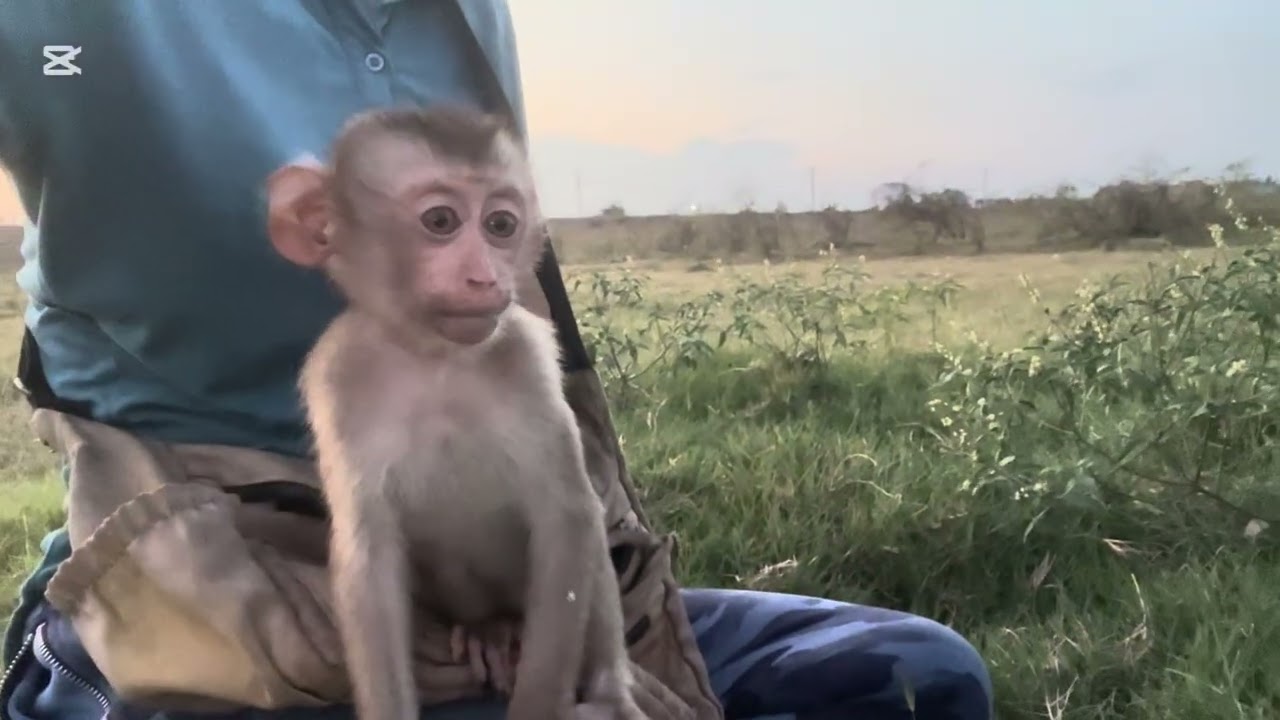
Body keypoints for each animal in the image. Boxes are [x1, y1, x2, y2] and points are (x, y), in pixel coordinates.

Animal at [264, 106, 647, 720]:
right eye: (441, 220)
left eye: (501, 225)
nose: (485, 277)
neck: (435, 360)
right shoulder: (337, 377)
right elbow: (369, 558)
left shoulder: (526, 356)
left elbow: (566, 517)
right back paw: (487, 630)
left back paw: (602, 681)